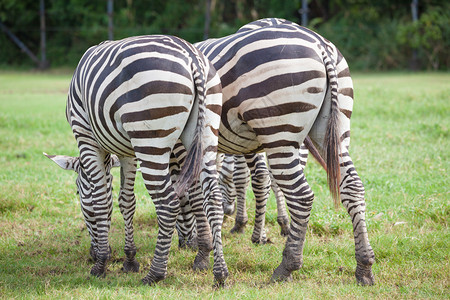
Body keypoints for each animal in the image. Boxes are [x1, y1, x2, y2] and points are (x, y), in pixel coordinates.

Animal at [48, 35, 229, 286]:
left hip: (150, 139)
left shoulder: (86, 137)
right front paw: (129, 260)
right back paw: (218, 272)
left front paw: (101, 264)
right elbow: (126, 201)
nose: (91, 254)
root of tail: (192, 57)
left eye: (77, 192)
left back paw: (155, 273)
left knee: (167, 204)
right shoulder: (126, 151)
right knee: (212, 198)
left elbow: (101, 200)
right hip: (206, 132)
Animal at [195, 17, 374, 284]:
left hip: (277, 127)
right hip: (333, 128)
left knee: (299, 195)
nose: (228, 212)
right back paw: (364, 267)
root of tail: (320, 44)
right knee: (352, 186)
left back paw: (286, 266)